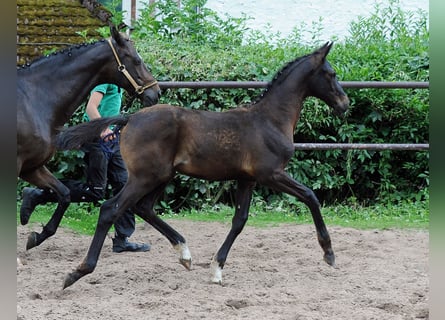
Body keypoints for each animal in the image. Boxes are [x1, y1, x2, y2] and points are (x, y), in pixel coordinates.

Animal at [16, 26, 161, 250]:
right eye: (136, 60)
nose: (156, 92)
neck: (34, 100)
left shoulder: (32, 167)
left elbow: (65, 194)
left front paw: (36, 236)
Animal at [56, 41, 346, 288]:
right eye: (331, 74)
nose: (345, 103)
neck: (271, 119)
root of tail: (129, 118)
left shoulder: (247, 178)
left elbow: (239, 221)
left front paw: (217, 270)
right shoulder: (271, 174)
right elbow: (310, 196)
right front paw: (329, 253)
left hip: (161, 176)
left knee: (143, 207)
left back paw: (184, 253)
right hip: (145, 177)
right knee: (110, 209)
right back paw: (77, 272)